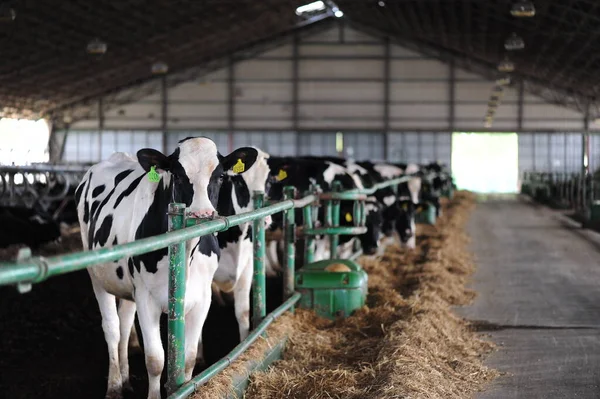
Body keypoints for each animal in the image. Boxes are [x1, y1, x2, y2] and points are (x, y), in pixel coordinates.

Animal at [75, 138, 258, 399]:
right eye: (178, 175)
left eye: (221, 176)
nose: (202, 214)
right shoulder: (146, 298)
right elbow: (155, 359)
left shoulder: (202, 298)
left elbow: (188, 359)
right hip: (98, 277)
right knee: (112, 328)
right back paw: (114, 385)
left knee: (125, 323)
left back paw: (126, 379)